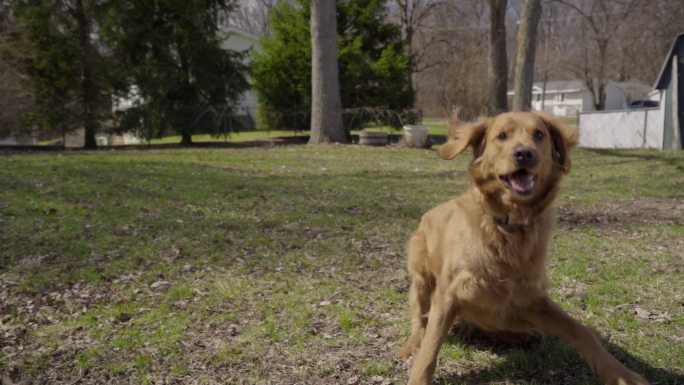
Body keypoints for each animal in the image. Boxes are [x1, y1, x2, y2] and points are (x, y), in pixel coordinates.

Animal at [400, 111, 648, 384]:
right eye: (502, 136)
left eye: (539, 134)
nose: (525, 153)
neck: (510, 225)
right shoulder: (449, 295)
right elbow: (430, 347)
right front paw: (418, 375)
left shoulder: (531, 299)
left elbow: (582, 330)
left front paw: (621, 374)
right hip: (421, 280)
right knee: (420, 320)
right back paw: (412, 343)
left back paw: (518, 336)